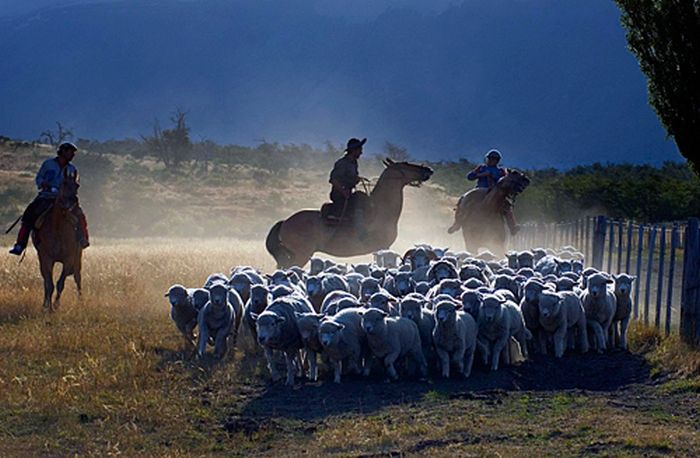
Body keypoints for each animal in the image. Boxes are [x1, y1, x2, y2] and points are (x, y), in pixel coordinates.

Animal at [33, 168, 84, 312]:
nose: (74, 201)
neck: (57, 228)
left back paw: (81, 301)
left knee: (78, 277)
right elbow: (49, 283)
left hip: (78, 257)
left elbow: (60, 283)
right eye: (64, 183)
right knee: (45, 280)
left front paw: (56, 305)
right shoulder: (46, 258)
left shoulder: (68, 259)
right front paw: (47, 307)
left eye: (77, 185)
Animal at [266, 158, 432, 268]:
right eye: (406, 164)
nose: (428, 170)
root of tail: (285, 222)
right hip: (301, 255)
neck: (380, 209)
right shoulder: (384, 248)